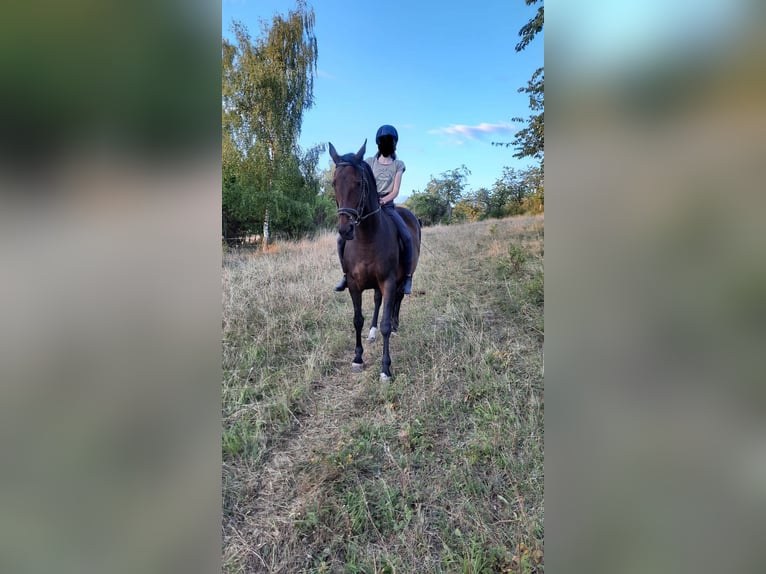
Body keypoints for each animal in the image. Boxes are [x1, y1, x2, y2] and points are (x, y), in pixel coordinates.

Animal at [328, 141, 424, 382]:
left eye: (359, 183)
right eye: (334, 183)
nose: (345, 230)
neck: (366, 239)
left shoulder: (388, 281)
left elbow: (386, 325)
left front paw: (385, 369)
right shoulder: (354, 284)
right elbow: (357, 320)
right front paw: (357, 358)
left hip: (401, 279)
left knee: (398, 298)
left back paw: (397, 325)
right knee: (378, 302)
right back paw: (371, 333)